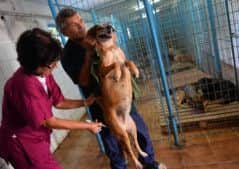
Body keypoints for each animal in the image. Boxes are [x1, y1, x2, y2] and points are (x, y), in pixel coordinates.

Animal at [87, 23, 148, 169]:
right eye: (99, 27)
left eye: (110, 26)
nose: (110, 27)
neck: (111, 48)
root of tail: (123, 126)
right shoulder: (102, 70)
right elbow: (115, 64)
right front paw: (118, 74)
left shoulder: (124, 60)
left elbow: (127, 61)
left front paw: (135, 71)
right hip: (123, 135)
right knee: (129, 150)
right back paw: (137, 163)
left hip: (133, 130)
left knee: (135, 145)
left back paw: (143, 154)